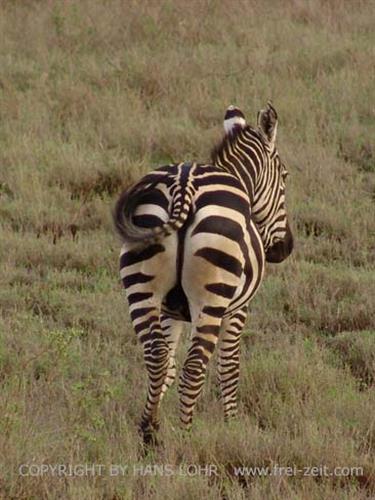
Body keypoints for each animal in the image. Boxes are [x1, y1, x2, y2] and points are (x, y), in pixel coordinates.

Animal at [113, 100, 296, 442]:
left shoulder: (170, 310)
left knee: (156, 355)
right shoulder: (238, 308)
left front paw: (155, 415)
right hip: (212, 297)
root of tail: (183, 186)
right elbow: (229, 366)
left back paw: (148, 432)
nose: (285, 248)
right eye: (286, 177)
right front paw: (232, 426)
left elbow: (168, 365)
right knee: (196, 365)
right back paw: (186, 436)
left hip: (141, 286)